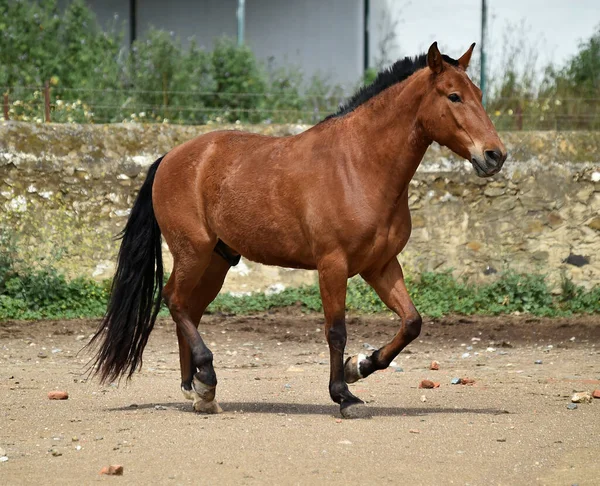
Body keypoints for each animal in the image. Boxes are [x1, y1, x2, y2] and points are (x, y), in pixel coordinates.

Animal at [90, 42, 506, 418]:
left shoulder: (381, 266)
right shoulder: (333, 264)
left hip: (217, 261)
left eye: (479, 94)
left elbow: (411, 323)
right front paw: (344, 395)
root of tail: (169, 158)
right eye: (454, 96)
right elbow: (336, 330)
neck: (360, 164)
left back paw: (199, 392)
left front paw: (359, 367)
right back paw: (205, 377)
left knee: (189, 309)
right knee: (174, 300)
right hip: (193, 252)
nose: (495, 155)